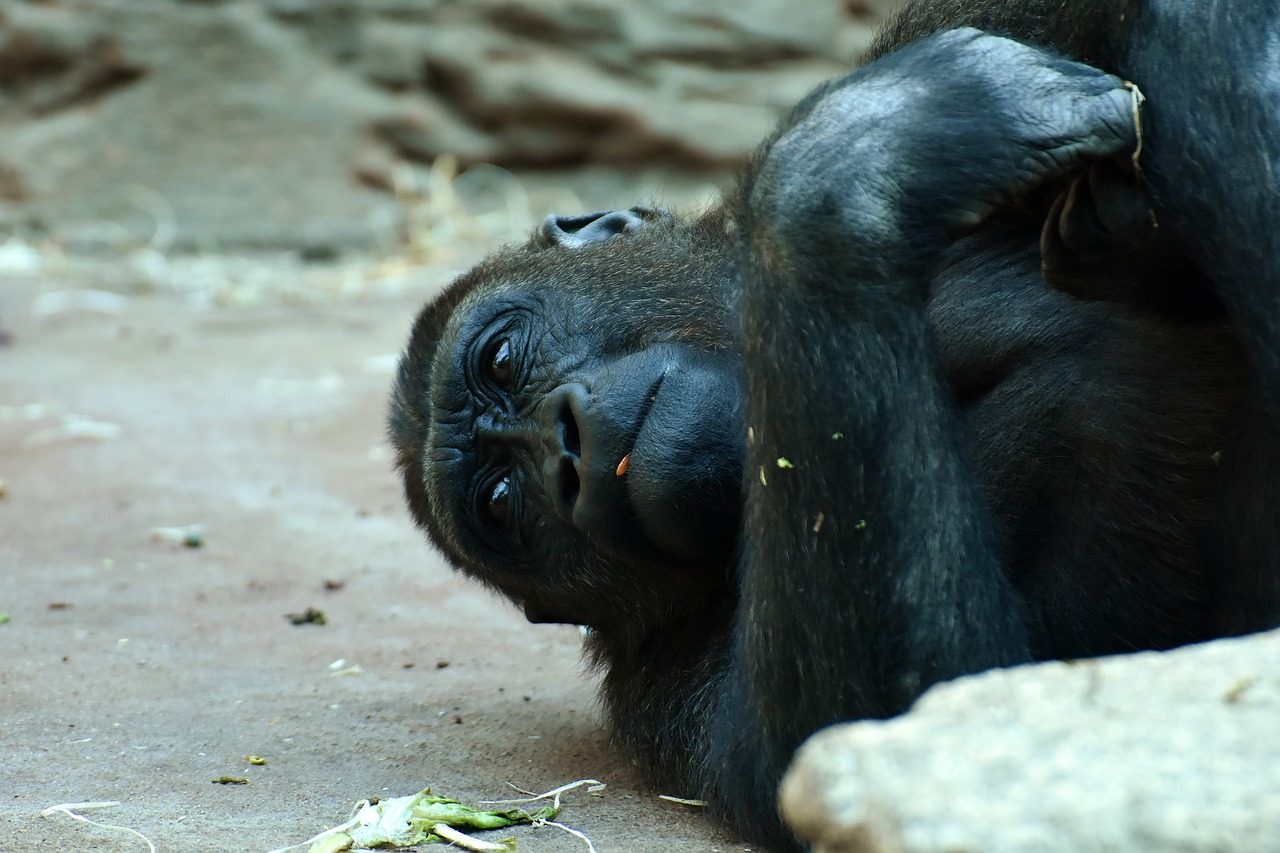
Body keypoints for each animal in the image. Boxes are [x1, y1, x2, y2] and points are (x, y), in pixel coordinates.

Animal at [386, 0, 1280, 845]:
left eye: (502, 357)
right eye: (503, 502)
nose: (566, 451)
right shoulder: (664, 699)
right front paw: (872, 145)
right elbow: (911, 709)